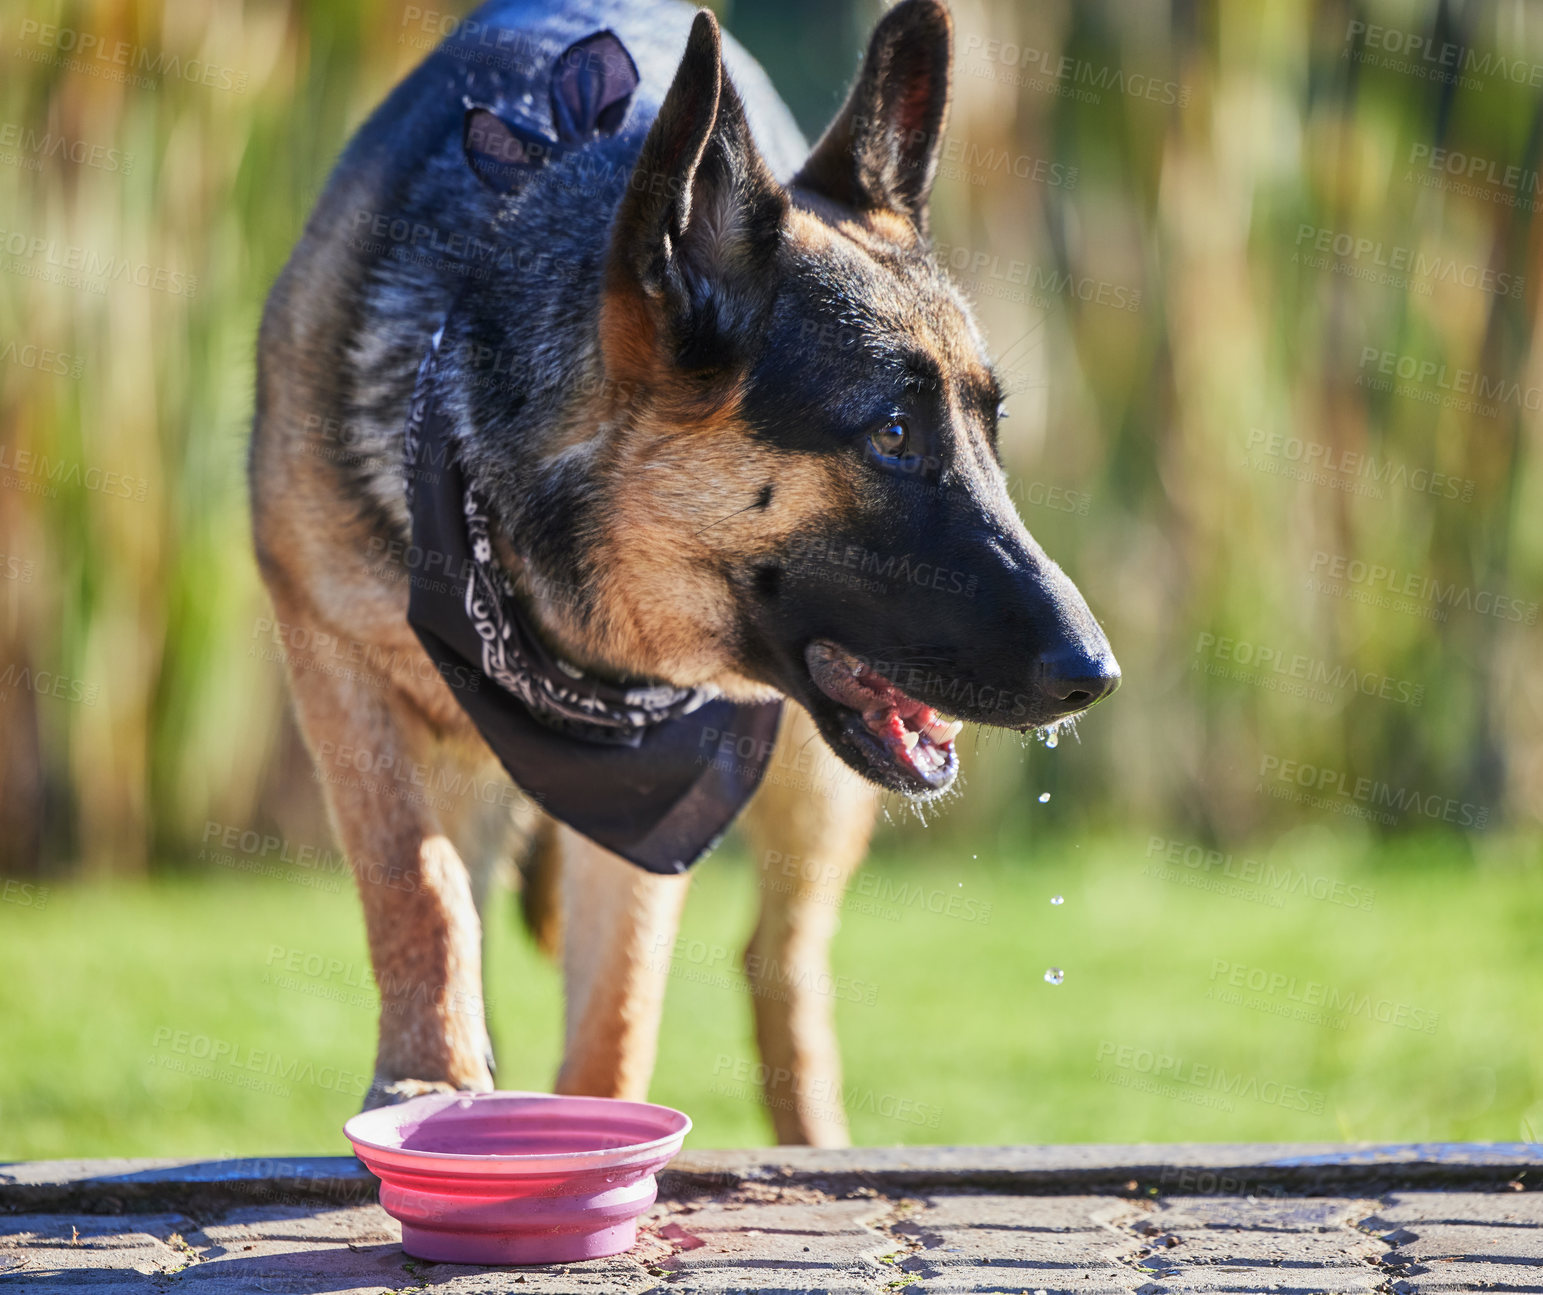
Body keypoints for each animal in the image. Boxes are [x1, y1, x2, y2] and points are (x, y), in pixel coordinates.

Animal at [256, 0, 1123, 1142]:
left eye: (993, 430)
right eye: (892, 434)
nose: (1095, 675)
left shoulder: (658, 774)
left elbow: (615, 1014)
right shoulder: (338, 670)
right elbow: (416, 886)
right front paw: (426, 1082)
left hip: (809, 788)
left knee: (780, 963)